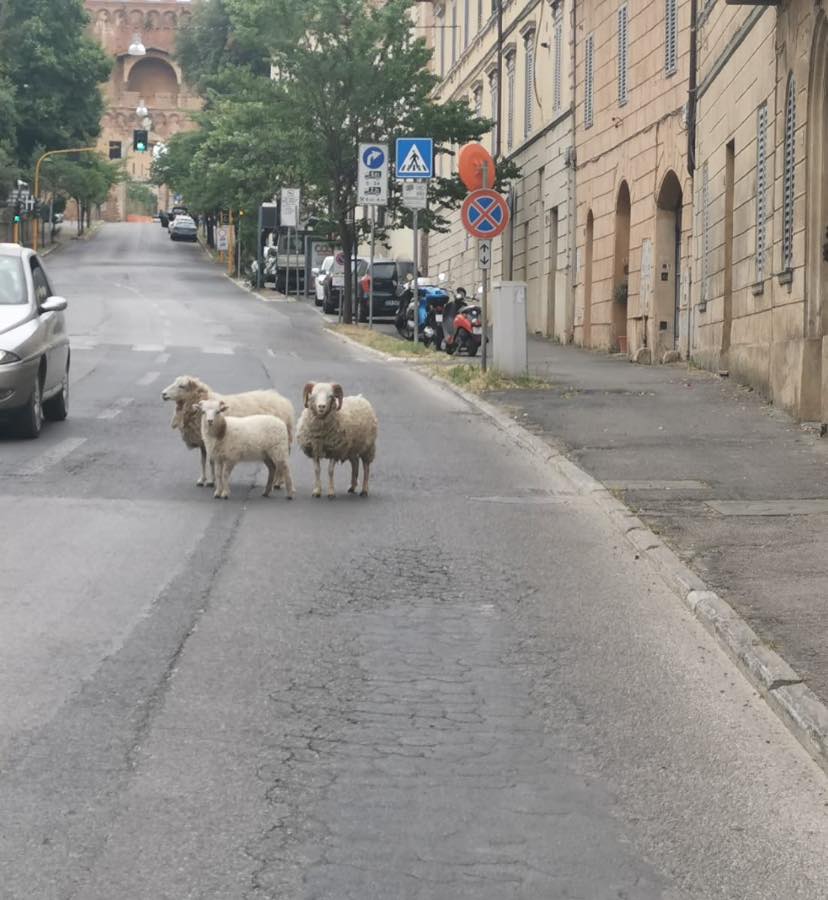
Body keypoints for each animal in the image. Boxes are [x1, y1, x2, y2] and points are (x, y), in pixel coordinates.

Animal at [161, 375, 295, 487]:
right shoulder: (203, 441)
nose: (163, 394)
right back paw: (278, 481)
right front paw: (202, 479)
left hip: (277, 443)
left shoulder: (212, 440)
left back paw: (278, 482)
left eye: (181, 386)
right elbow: (202, 461)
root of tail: (283, 400)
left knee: (281, 462)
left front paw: (211, 481)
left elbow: (210, 461)